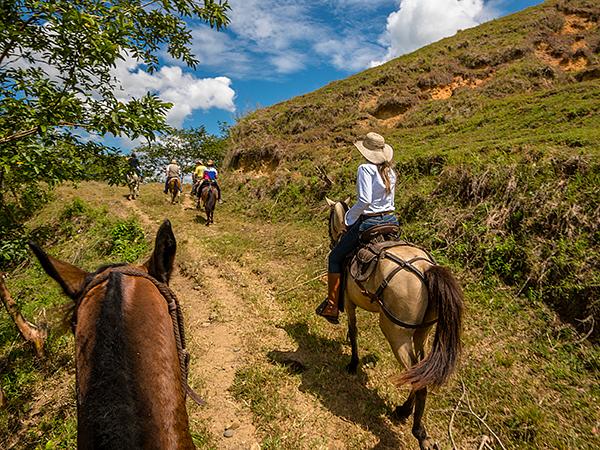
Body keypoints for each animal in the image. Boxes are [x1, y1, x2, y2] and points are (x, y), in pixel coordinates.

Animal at [328, 200, 464, 450]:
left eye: (329, 218)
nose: (333, 240)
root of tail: (426, 270)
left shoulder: (349, 302)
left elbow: (353, 330)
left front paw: (353, 363)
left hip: (395, 333)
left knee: (416, 377)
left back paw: (419, 431)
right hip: (422, 332)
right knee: (420, 370)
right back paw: (404, 410)